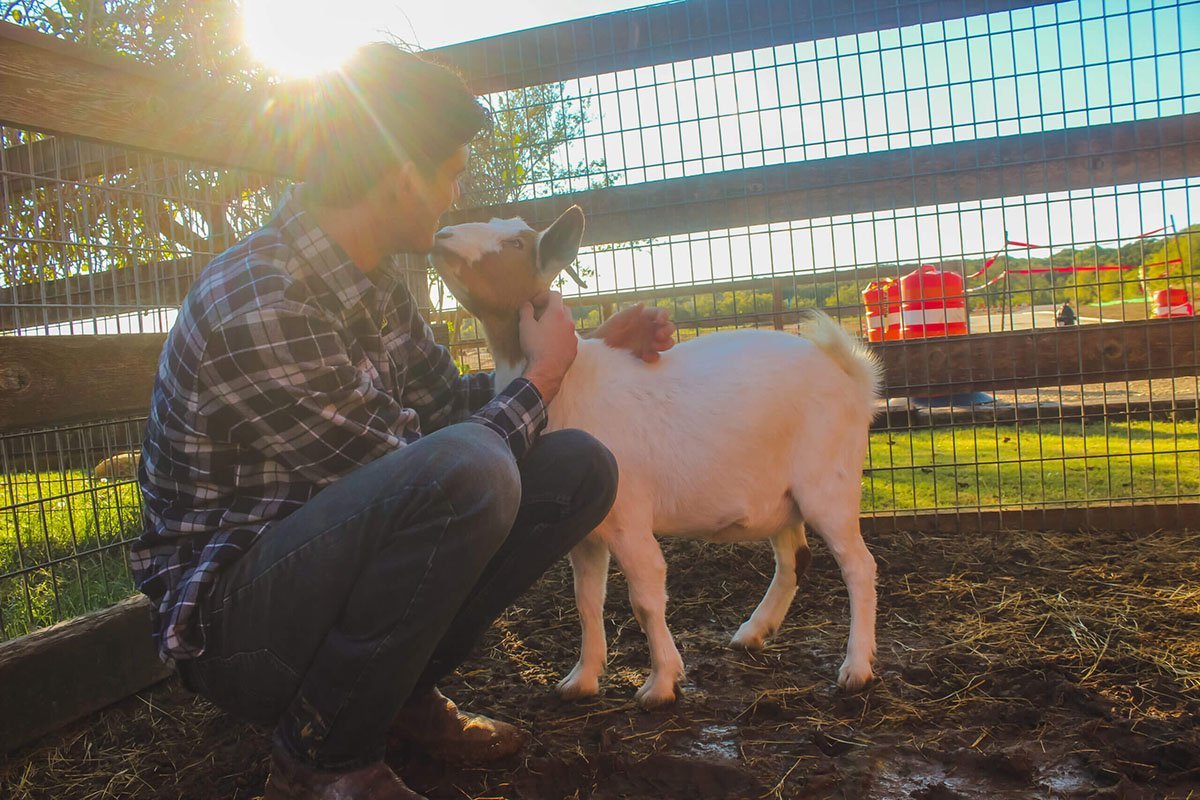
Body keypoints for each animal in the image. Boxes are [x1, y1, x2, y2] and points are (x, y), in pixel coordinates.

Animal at [432, 205, 883, 705]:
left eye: (515, 243)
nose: (441, 235)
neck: (571, 383)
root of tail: (850, 372)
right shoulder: (589, 532)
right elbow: (586, 600)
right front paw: (582, 679)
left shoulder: (628, 515)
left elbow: (645, 596)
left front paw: (661, 682)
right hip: (782, 496)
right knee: (794, 559)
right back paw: (753, 632)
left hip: (829, 482)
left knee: (859, 566)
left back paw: (856, 668)